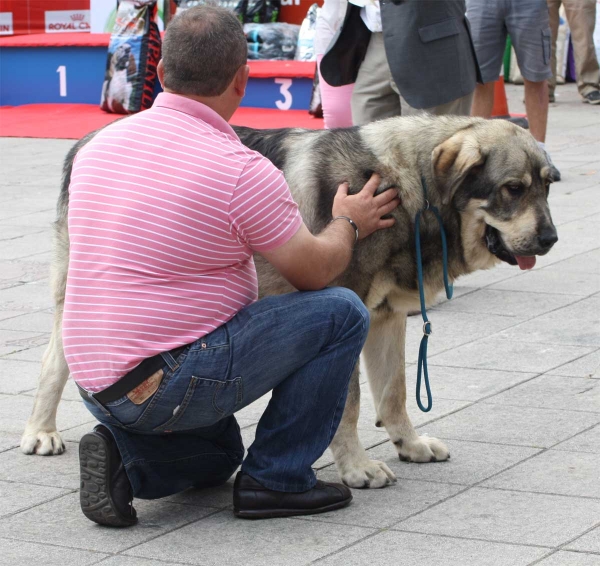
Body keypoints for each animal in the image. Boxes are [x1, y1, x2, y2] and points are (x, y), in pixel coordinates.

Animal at [21, 114, 560, 488]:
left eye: (548, 186)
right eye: (513, 189)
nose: (552, 238)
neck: (412, 187)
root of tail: (89, 137)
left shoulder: (388, 318)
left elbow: (394, 392)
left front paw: (407, 444)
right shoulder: (353, 308)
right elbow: (350, 406)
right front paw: (357, 467)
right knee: (52, 362)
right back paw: (40, 431)